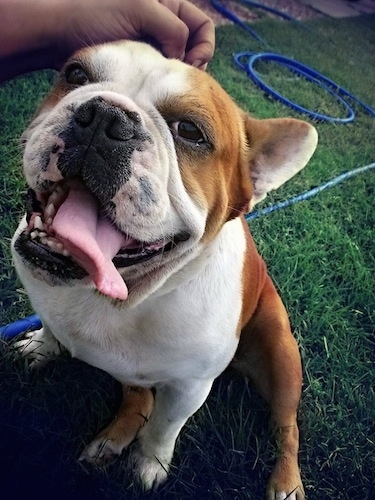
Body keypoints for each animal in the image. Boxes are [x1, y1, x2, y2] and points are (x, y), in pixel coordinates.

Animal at [11, 41, 318, 498]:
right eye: (76, 74)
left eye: (190, 131)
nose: (104, 115)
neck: (122, 294)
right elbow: (52, 326)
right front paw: (42, 345)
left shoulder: (189, 387)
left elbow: (164, 427)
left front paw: (149, 463)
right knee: (139, 398)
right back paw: (111, 439)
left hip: (282, 356)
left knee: (287, 427)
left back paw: (286, 480)